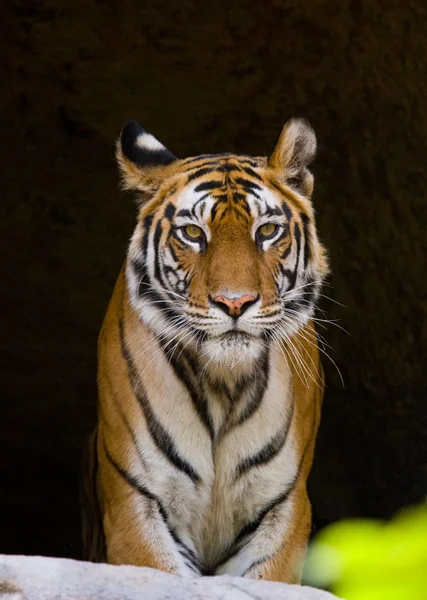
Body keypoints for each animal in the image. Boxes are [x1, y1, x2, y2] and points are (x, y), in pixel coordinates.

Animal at [82, 115, 332, 584]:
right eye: (193, 233)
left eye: (266, 231)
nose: (235, 303)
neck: (223, 385)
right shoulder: (137, 498)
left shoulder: (283, 505)